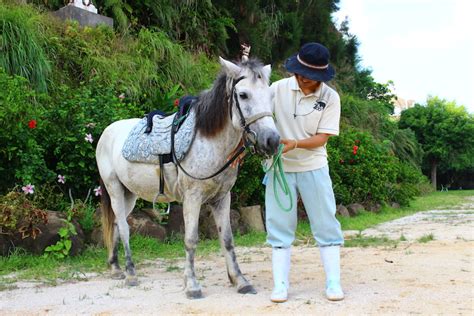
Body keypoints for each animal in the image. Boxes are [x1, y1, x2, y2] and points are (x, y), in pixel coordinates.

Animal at [96, 57, 282, 298]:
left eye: (270, 95)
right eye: (243, 95)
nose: (272, 141)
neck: (208, 140)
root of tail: (106, 132)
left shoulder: (222, 198)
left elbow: (228, 240)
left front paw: (240, 281)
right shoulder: (193, 198)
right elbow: (191, 239)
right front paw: (192, 285)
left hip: (130, 194)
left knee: (117, 225)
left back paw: (116, 268)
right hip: (115, 190)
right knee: (125, 228)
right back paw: (130, 273)